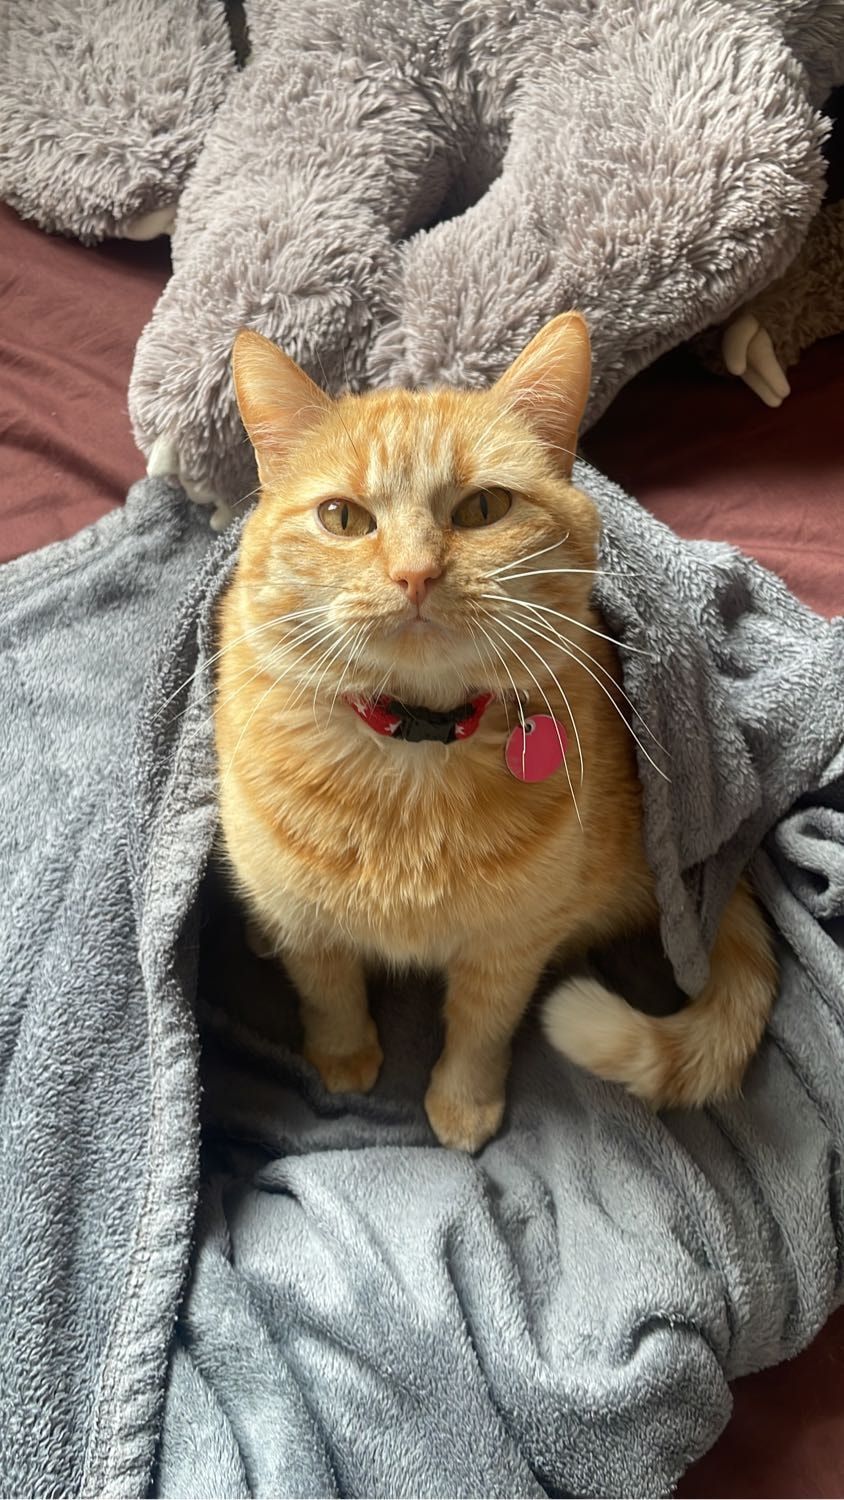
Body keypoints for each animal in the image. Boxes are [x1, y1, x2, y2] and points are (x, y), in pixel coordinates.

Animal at [214, 312, 777, 1152]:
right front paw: (343, 1057)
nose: (414, 574)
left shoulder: (512, 943)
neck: (413, 743)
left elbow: (482, 1027)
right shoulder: (303, 919)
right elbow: (328, 989)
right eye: (342, 518)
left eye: (483, 510)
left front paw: (463, 1103)